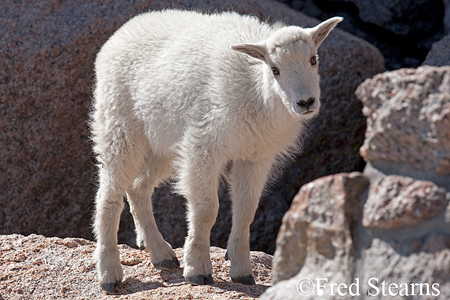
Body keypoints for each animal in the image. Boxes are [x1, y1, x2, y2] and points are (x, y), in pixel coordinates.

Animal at [91, 8, 342, 292]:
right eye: (275, 69)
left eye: (313, 59)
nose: (306, 102)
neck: (258, 91)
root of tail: (119, 35)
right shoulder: (204, 145)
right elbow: (206, 209)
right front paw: (197, 269)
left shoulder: (254, 156)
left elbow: (246, 210)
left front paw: (242, 272)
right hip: (119, 125)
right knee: (109, 195)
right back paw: (109, 272)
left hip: (163, 146)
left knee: (137, 188)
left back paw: (161, 254)